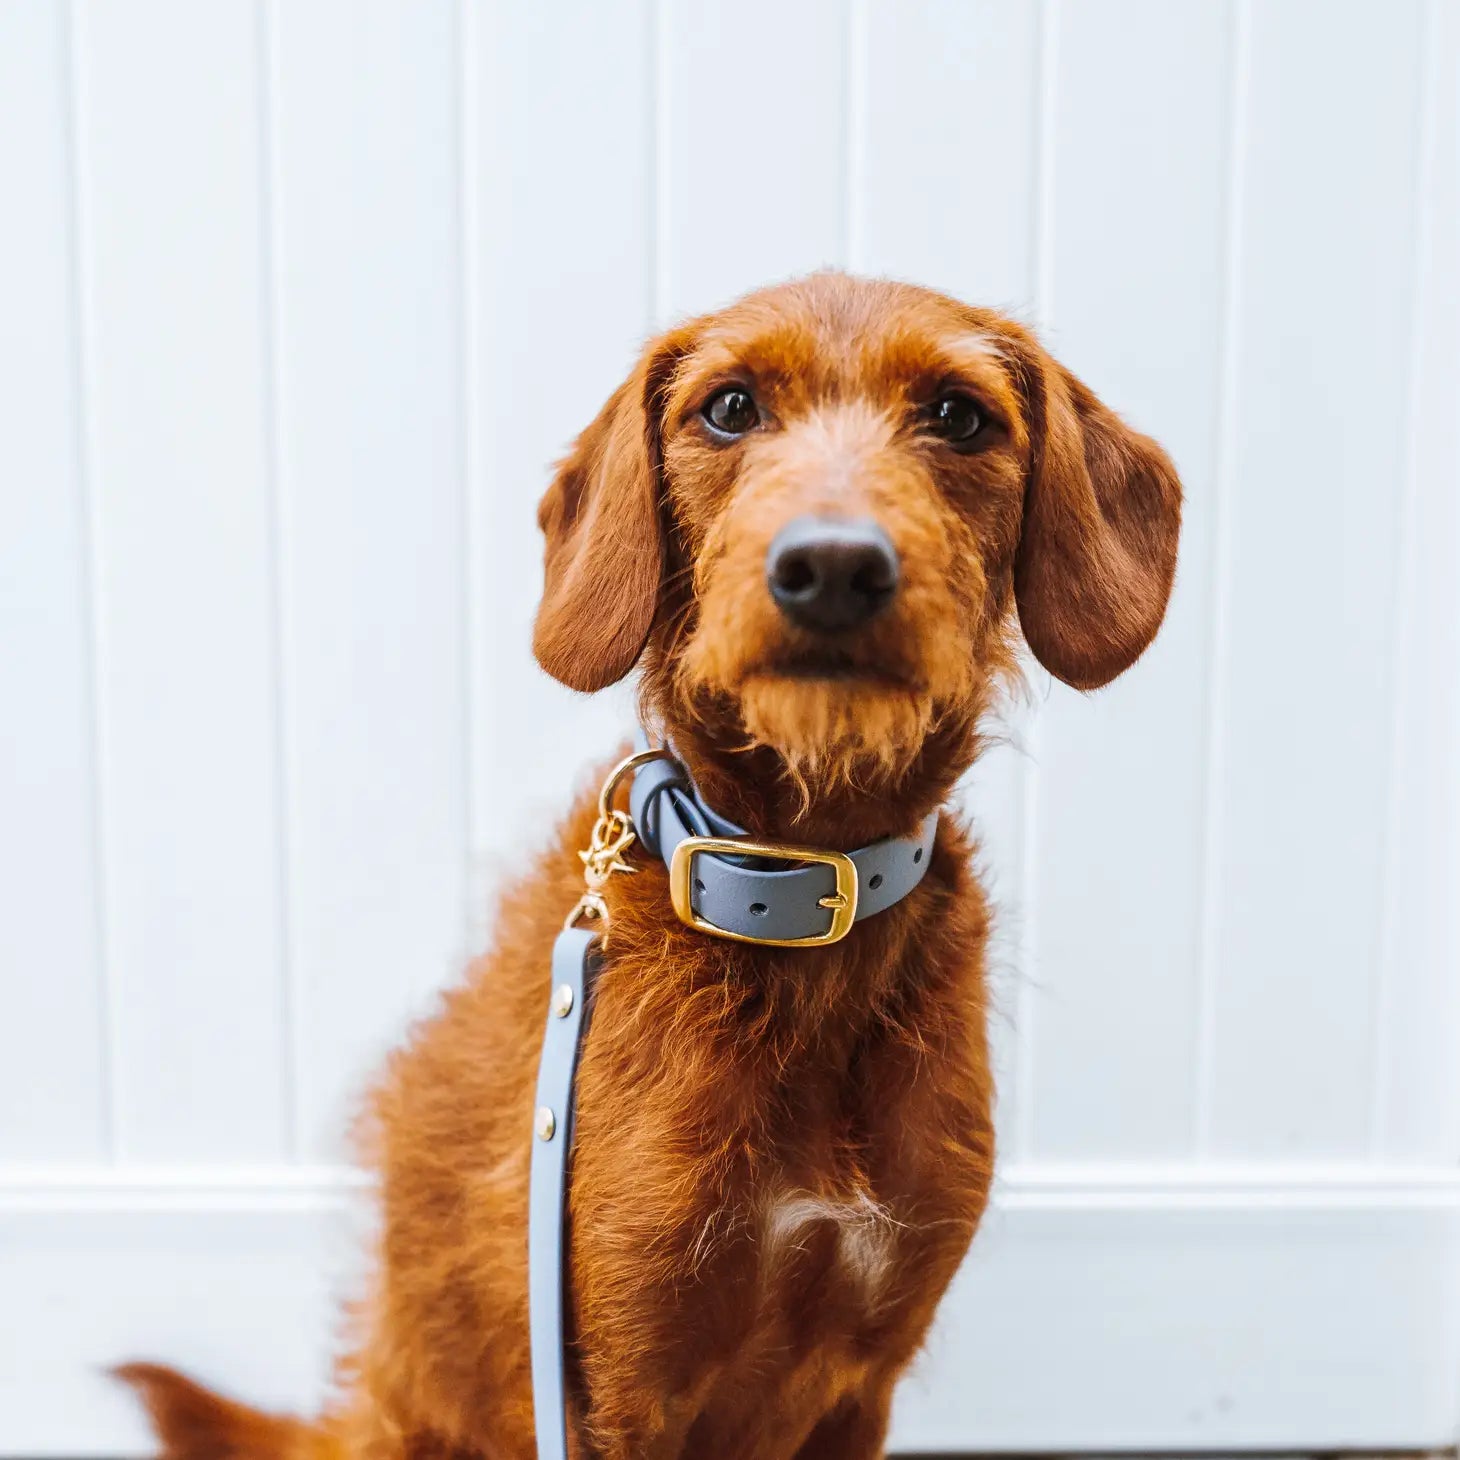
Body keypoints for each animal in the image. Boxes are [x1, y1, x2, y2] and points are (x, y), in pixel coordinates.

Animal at [119, 274, 1179, 1460]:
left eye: (957, 415)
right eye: (729, 407)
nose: (831, 567)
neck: (787, 894)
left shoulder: (863, 1377)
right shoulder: (614, 1384)